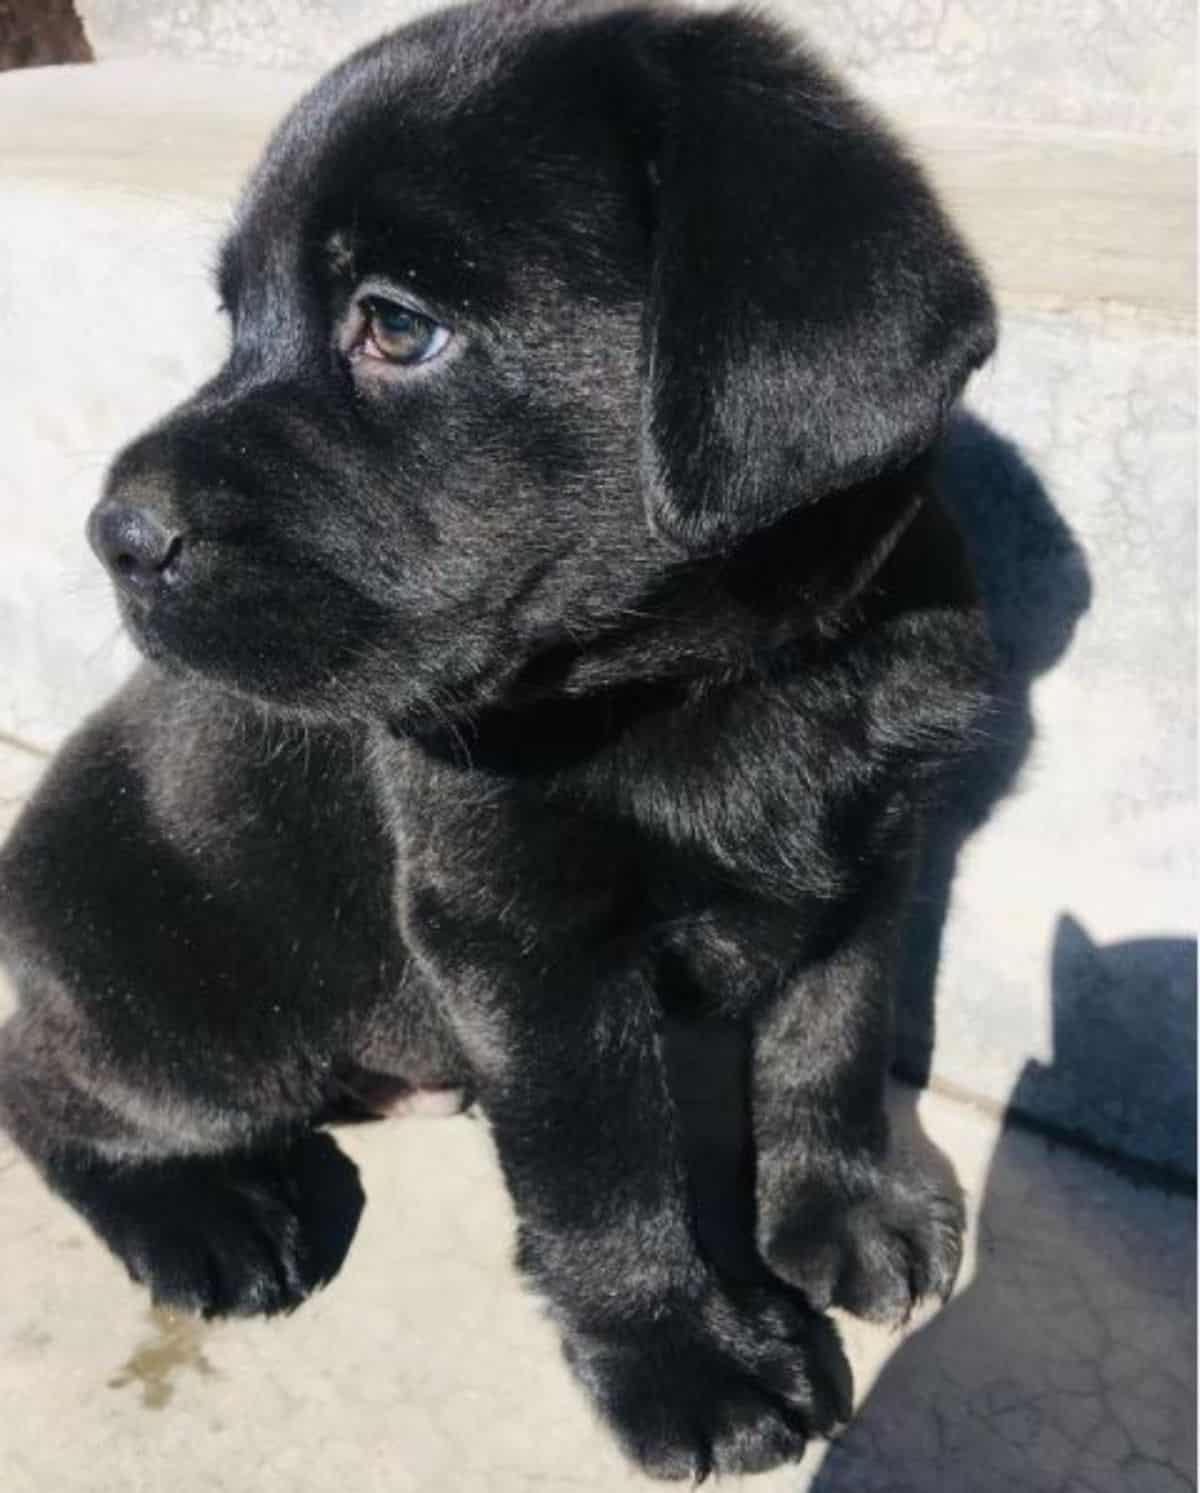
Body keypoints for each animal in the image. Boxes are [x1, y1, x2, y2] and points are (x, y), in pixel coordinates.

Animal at [0, 0, 991, 1469]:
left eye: (397, 326)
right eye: (237, 317)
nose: (114, 535)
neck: (711, 684)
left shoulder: (872, 849)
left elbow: (836, 1031)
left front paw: (845, 1206)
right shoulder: (518, 938)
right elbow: (604, 1175)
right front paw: (686, 1360)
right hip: (195, 1028)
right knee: (47, 1085)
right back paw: (207, 1216)